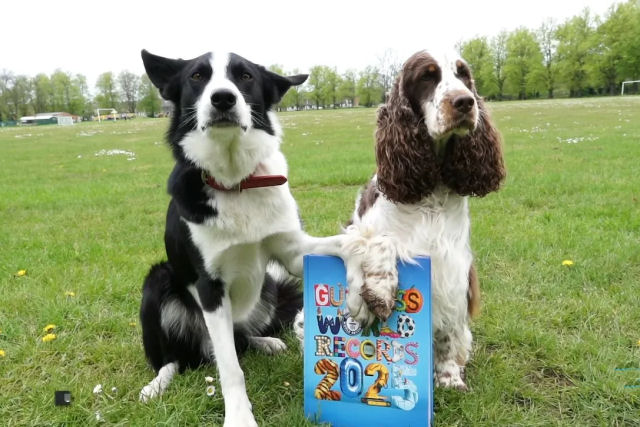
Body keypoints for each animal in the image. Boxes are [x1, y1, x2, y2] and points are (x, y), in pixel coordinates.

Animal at [136, 51, 344, 426]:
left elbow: (340, 242)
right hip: (158, 282)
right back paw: (157, 384)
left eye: (245, 76)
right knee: (179, 357)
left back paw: (266, 342)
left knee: (241, 337)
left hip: (269, 287)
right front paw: (239, 417)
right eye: (197, 76)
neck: (236, 182)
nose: (223, 98)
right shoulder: (210, 287)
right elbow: (231, 369)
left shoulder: (292, 252)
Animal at [340, 50, 504, 392]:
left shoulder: (453, 269)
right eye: (427, 76)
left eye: (463, 74)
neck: (432, 190)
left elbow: (447, 334)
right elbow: (378, 242)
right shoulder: (358, 228)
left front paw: (449, 378)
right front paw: (378, 291)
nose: (465, 102)